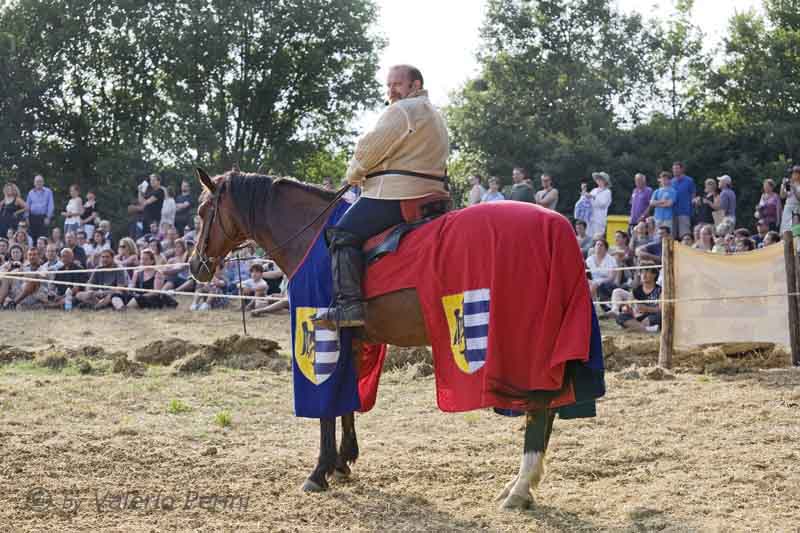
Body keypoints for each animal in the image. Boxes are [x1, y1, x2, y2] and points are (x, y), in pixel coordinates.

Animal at [189, 168, 564, 510]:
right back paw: (519, 486)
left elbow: (326, 409)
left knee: (540, 406)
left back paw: (520, 488)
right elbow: (346, 404)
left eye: (203, 211)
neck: (309, 237)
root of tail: (555, 228)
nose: (195, 266)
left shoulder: (326, 337)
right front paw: (342, 463)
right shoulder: (352, 343)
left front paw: (320, 471)